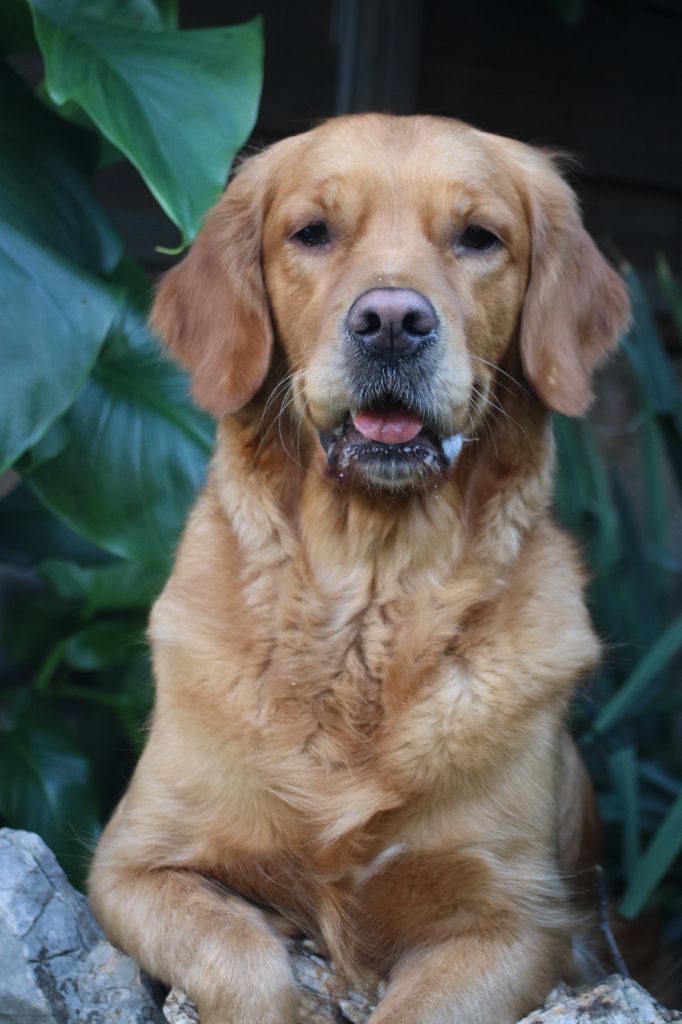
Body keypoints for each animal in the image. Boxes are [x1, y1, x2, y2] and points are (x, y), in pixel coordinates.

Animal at [87, 114, 630, 1024]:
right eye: (312, 232)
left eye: (478, 237)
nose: (392, 321)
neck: (368, 596)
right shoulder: (133, 862)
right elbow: (244, 959)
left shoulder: (519, 920)